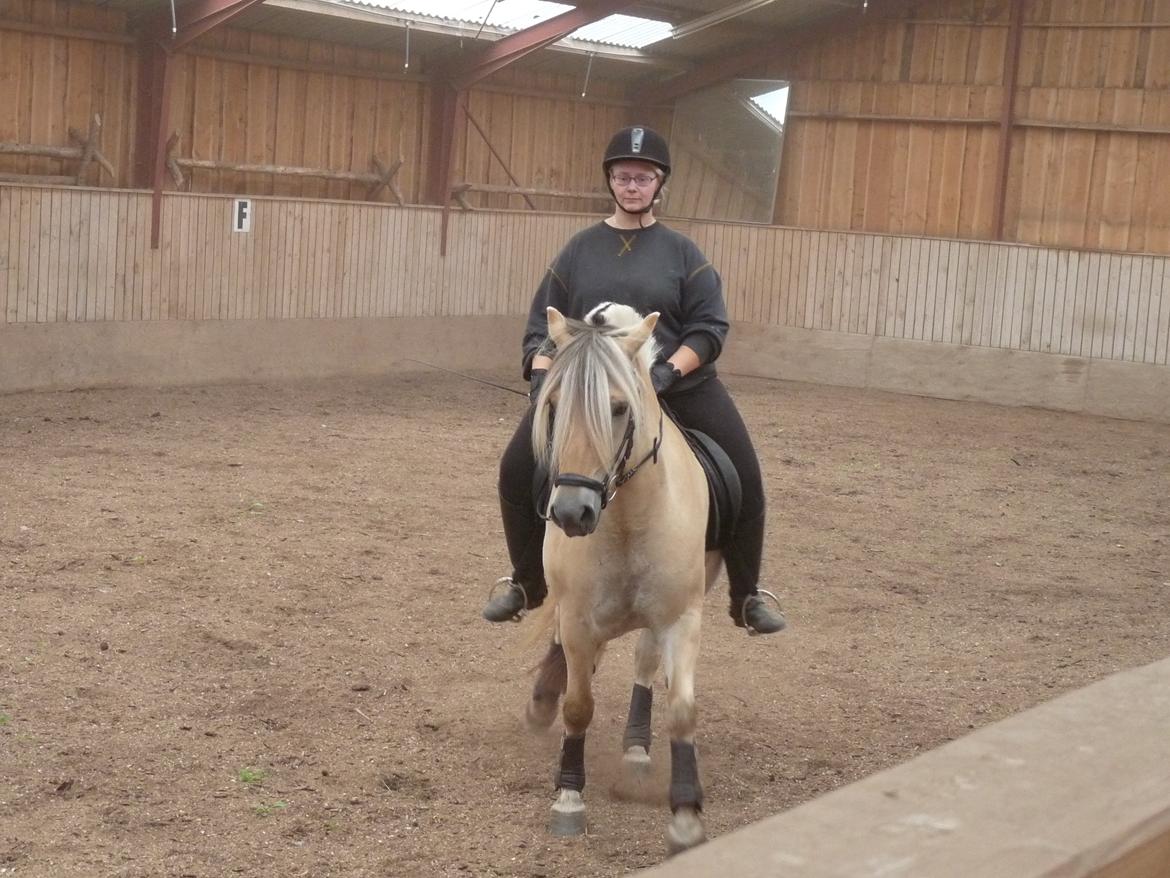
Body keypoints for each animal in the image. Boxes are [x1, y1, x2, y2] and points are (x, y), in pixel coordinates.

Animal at [524, 306, 720, 856]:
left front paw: (685, 815)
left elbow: (682, 709)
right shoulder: (577, 619)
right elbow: (578, 706)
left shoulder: (683, 618)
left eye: (617, 408)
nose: (572, 512)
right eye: (553, 404)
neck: (628, 519)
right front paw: (568, 799)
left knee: (645, 662)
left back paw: (636, 750)